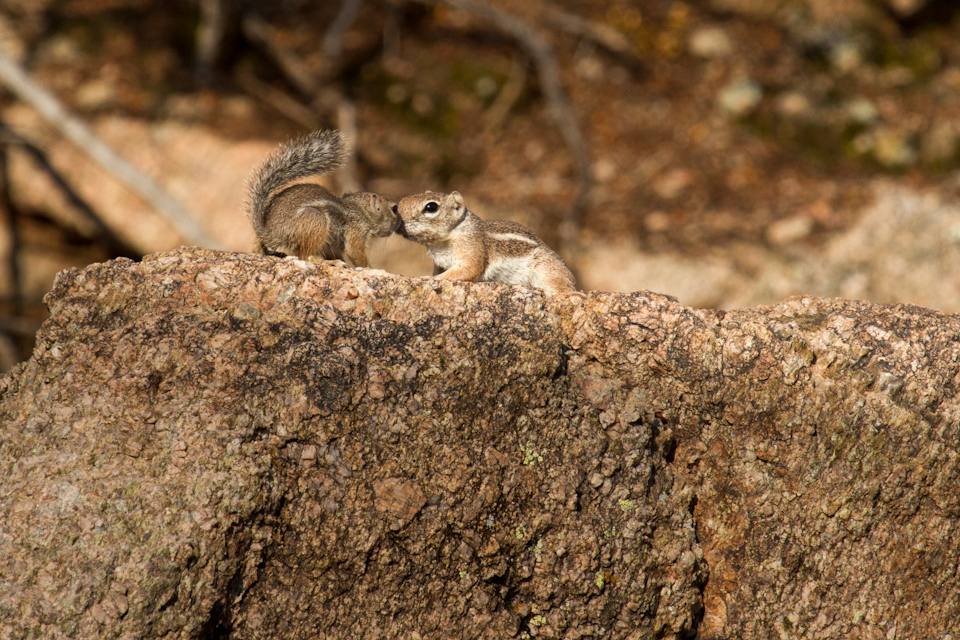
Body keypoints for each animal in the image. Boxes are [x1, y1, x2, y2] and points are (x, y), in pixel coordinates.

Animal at [245, 129, 399, 267]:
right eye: (394, 209)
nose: (398, 224)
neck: (361, 210)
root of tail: (272, 232)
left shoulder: (334, 245)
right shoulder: (357, 228)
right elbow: (355, 253)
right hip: (316, 220)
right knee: (305, 256)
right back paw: (331, 263)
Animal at [394, 190, 576, 297]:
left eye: (431, 207)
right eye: (402, 202)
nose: (397, 221)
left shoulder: (471, 247)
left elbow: (467, 270)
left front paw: (425, 278)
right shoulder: (439, 264)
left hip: (548, 271)